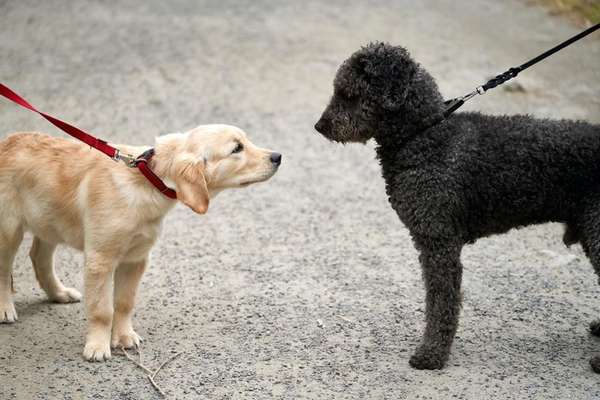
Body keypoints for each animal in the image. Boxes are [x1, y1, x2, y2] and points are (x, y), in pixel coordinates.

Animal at [0, 123, 282, 360]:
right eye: (236, 148)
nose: (278, 156)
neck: (148, 179)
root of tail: (7, 141)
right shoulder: (100, 259)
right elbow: (102, 310)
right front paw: (98, 346)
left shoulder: (135, 259)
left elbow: (125, 303)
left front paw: (124, 336)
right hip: (9, 230)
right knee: (5, 270)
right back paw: (5, 308)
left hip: (49, 220)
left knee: (39, 257)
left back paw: (59, 293)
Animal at [314, 42, 600, 370]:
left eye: (349, 93)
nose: (319, 126)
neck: (425, 135)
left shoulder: (440, 243)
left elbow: (442, 303)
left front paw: (431, 354)